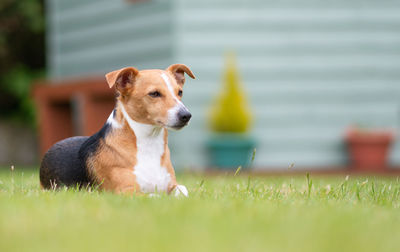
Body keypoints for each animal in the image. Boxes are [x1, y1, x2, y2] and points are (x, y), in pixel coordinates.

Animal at [39, 63, 196, 197]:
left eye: (180, 92)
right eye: (154, 93)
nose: (186, 115)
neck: (148, 143)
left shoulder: (173, 185)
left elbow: (183, 191)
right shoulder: (125, 191)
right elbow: (155, 196)